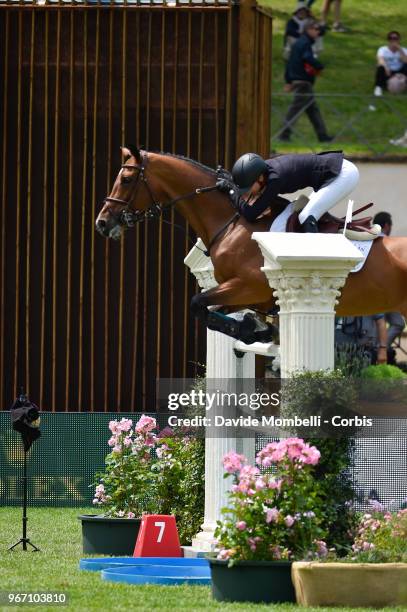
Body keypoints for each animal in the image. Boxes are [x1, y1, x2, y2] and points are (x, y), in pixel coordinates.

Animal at [96, 145, 407, 342]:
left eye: (126, 179)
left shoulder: (247, 285)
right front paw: (254, 329)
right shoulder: (246, 295)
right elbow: (209, 312)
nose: (102, 223)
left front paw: (252, 331)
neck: (232, 222)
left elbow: (198, 304)